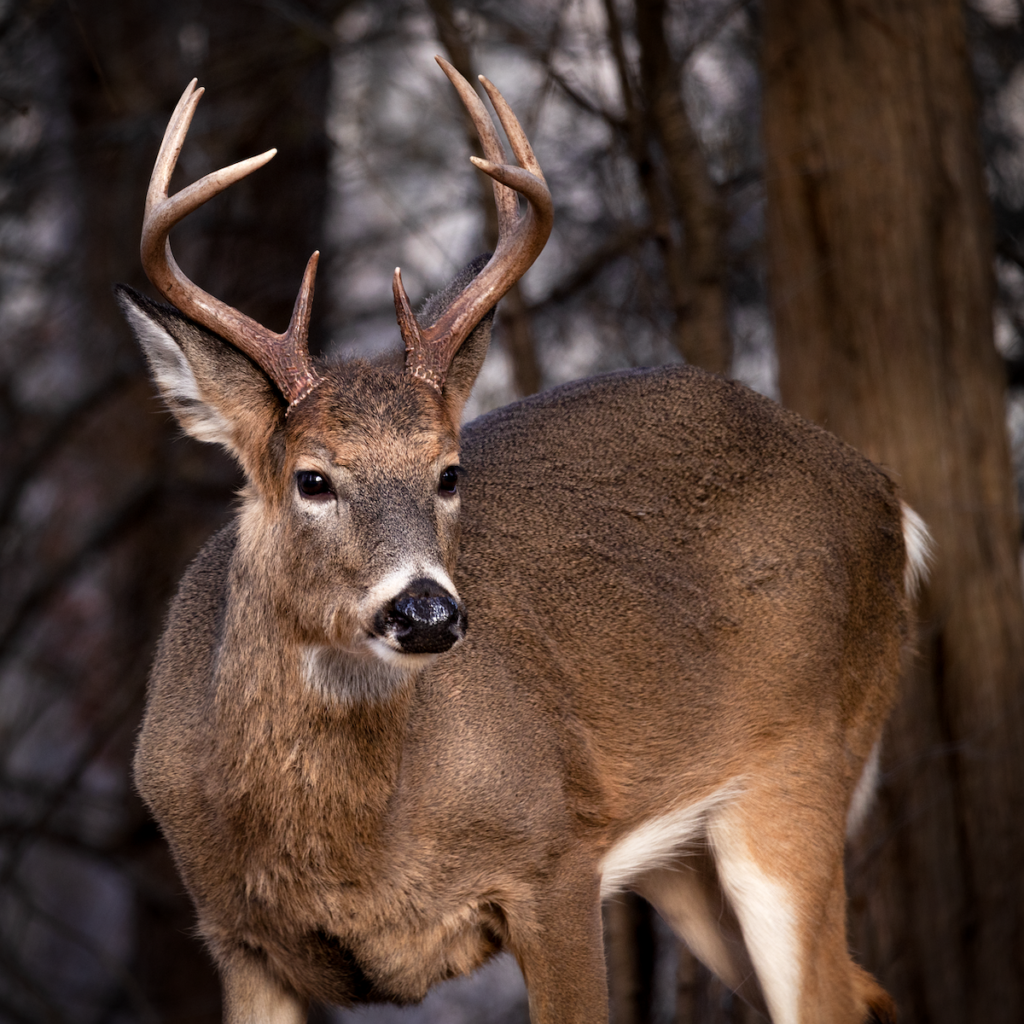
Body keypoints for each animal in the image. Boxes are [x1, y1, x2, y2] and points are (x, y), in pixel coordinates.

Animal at [117, 58, 928, 1024]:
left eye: (449, 471)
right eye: (312, 478)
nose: (427, 613)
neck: (349, 851)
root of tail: (889, 498)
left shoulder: (554, 856)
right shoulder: (236, 937)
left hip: (802, 765)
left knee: (836, 992)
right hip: (686, 863)